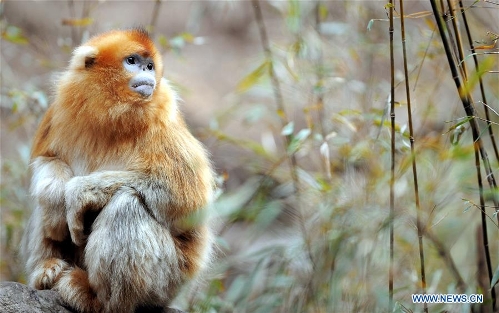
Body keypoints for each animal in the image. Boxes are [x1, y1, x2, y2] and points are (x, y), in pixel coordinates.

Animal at [21, 28, 215, 310]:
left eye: (150, 66)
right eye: (132, 61)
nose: (147, 73)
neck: (111, 111)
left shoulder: (163, 116)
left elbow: (186, 200)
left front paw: (79, 192)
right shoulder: (61, 107)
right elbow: (48, 160)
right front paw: (57, 199)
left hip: (168, 281)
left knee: (127, 204)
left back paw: (96, 300)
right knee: (45, 201)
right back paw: (48, 268)